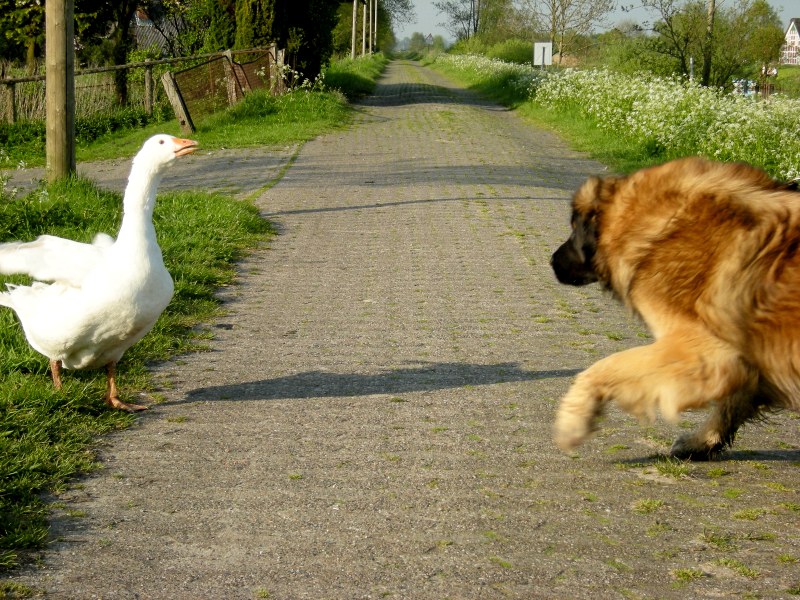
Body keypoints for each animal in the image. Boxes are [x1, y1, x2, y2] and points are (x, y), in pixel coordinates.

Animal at [552, 157, 800, 458]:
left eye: (574, 228)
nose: (552, 261)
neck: (662, 226)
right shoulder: (747, 355)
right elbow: (734, 402)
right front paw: (701, 443)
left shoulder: (706, 350)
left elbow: (604, 366)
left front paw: (573, 421)